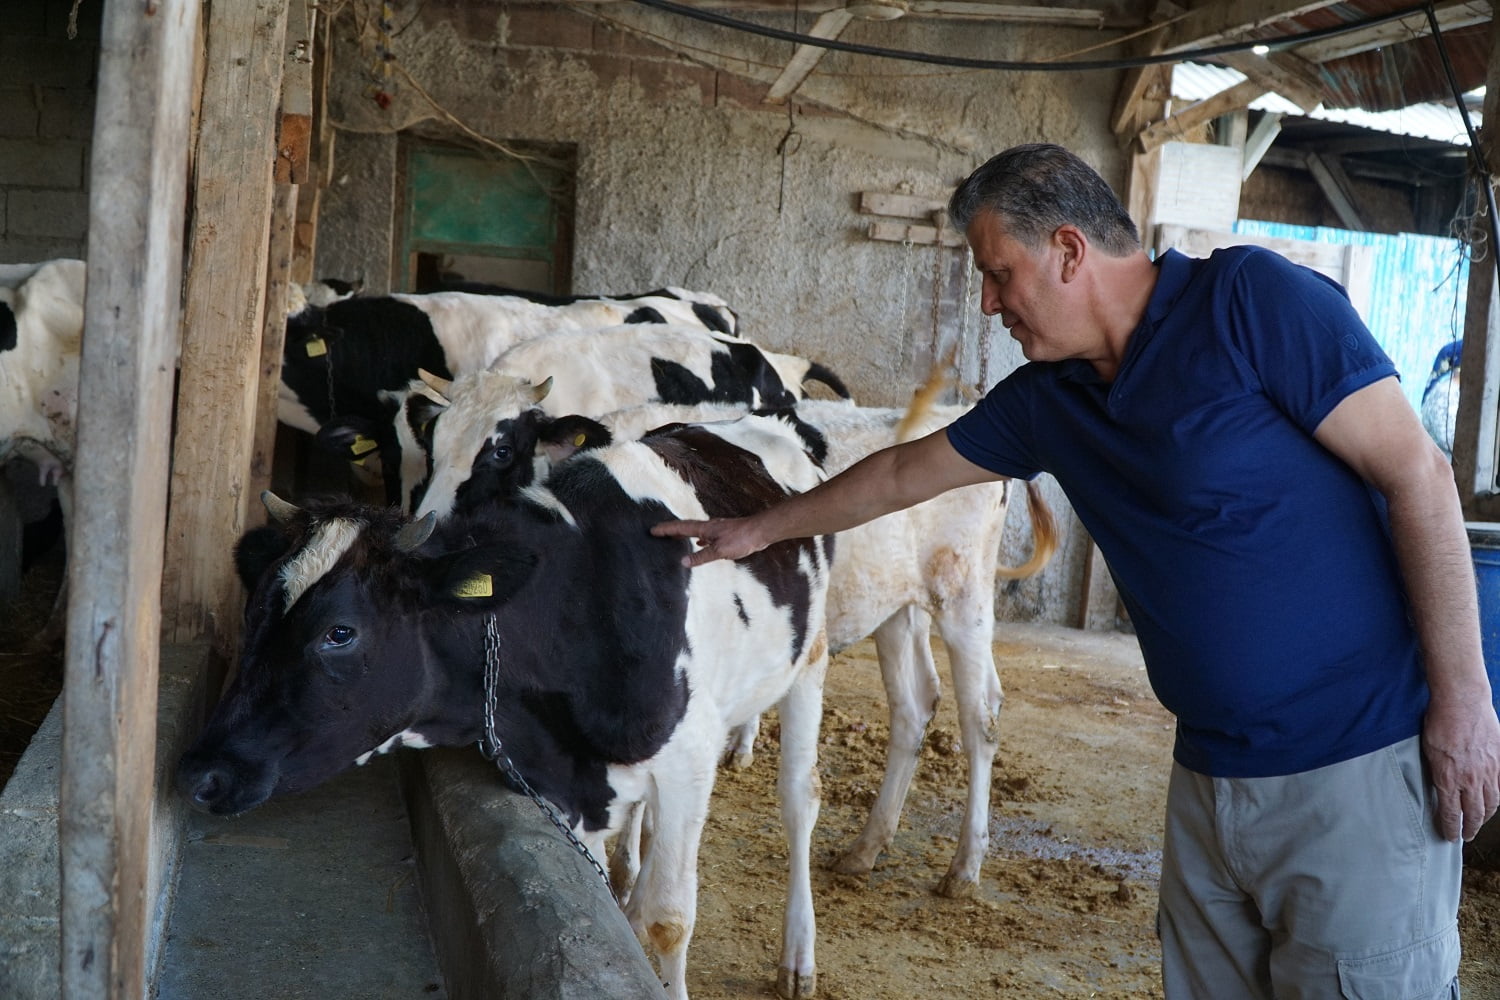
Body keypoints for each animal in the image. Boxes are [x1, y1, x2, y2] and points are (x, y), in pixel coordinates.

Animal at [181, 407, 840, 1000]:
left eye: (339, 632)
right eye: (254, 609)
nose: (201, 771)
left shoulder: (689, 759)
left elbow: (670, 919)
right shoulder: (564, 787)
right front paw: (622, 897)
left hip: (810, 659)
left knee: (799, 799)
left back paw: (799, 955)